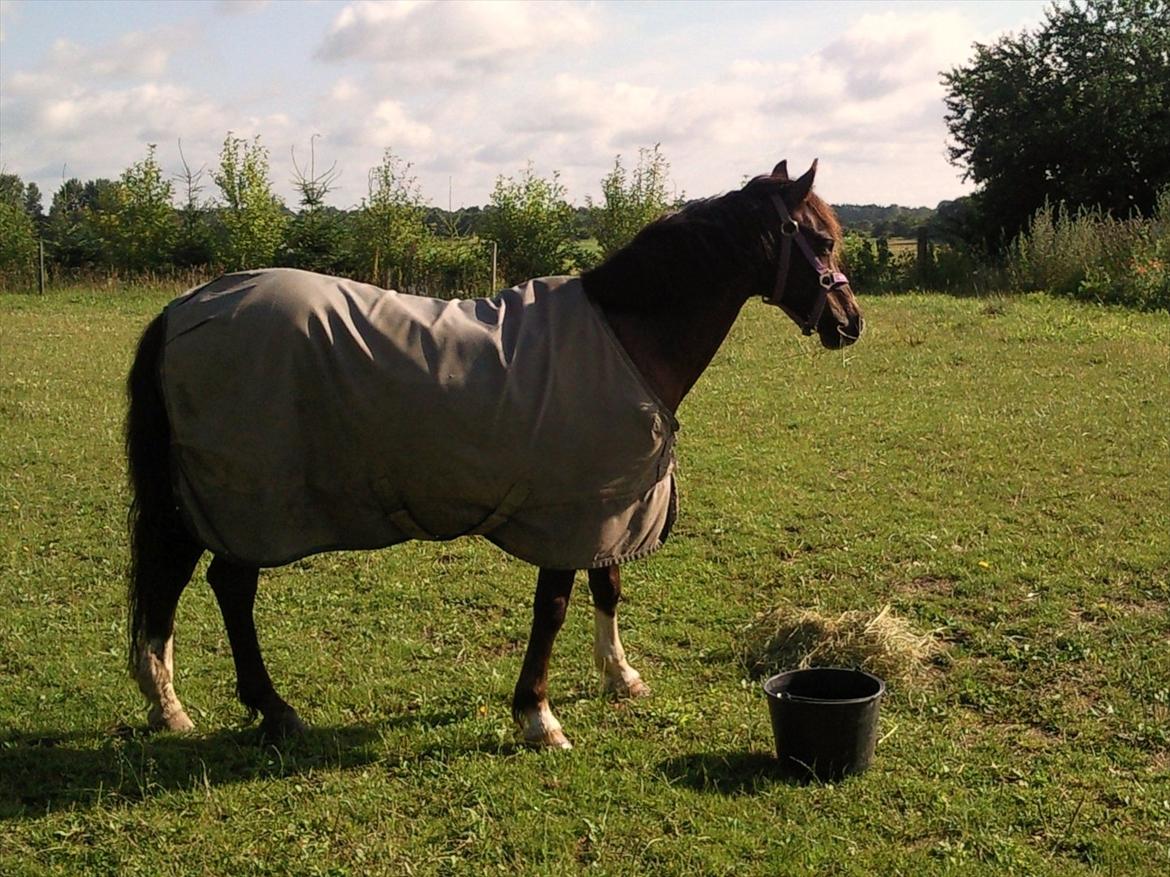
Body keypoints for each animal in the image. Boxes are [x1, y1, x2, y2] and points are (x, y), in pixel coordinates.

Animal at [125, 159, 862, 749]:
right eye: (822, 240)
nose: (850, 322)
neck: (622, 334)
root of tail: (184, 310)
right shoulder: (568, 509)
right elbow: (553, 607)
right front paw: (537, 716)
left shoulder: (608, 503)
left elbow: (608, 585)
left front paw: (619, 675)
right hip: (245, 497)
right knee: (227, 586)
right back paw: (264, 708)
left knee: (190, 583)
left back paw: (176, 707)